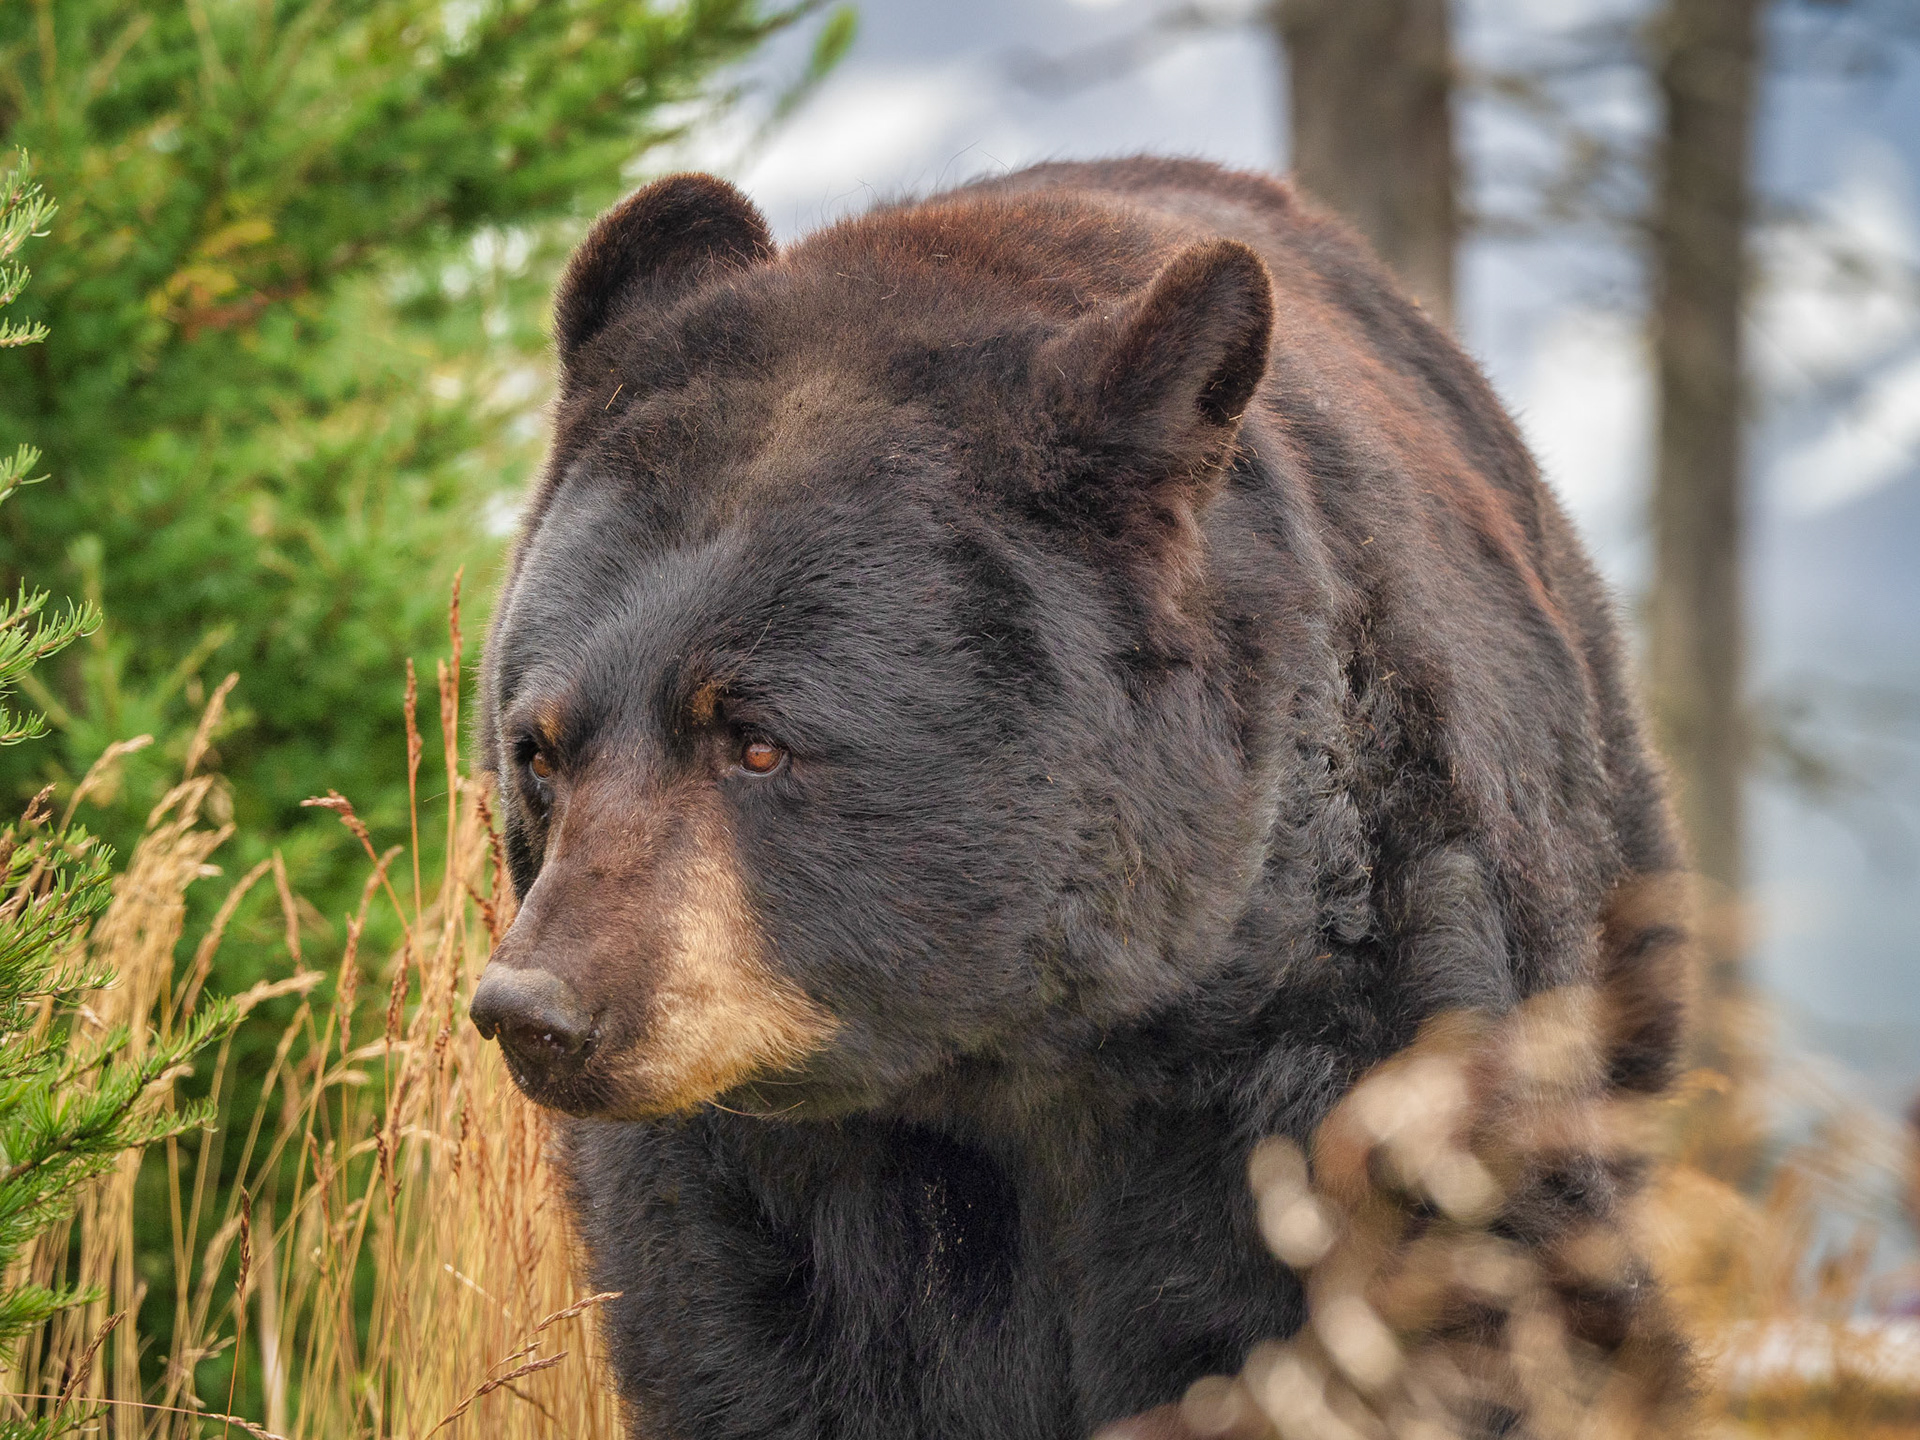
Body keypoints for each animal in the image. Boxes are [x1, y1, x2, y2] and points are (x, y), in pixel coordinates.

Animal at [469, 157, 1692, 1439]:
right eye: (541, 750)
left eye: (754, 741)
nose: (536, 1009)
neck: (1025, 1055)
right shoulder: (746, 1182)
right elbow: (752, 1354)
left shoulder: (1359, 1011)